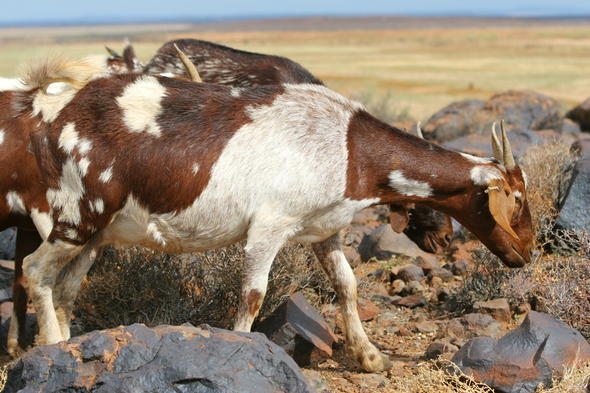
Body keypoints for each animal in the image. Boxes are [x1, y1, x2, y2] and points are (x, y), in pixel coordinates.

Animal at [18, 60, 536, 370]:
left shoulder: (326, 230)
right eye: (516, 198)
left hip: (98, 231)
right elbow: (253, 295)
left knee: (66, 286)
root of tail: (54, 114)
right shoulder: (269, 227)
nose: (526, 252)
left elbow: (348, 285)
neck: (350, 149)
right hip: (76, 215)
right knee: (34, 270)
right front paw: (242, 348)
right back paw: (49, 345)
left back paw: (67, 344)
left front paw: (369, 357)